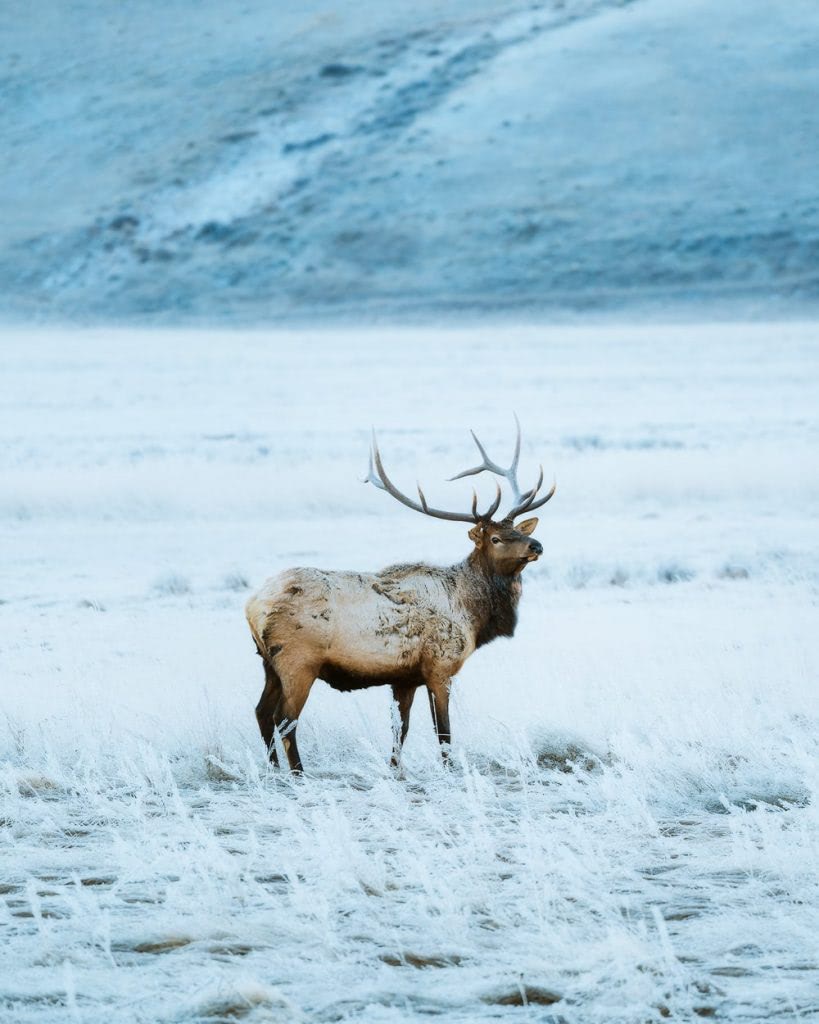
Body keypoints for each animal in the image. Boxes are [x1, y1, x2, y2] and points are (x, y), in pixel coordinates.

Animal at [243, 419, 548, 770]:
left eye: (519, 532)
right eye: (496, 538)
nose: (537, 545)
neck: (472, 614)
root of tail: (252, 606)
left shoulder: (404, 678)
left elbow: (400, 729)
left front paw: (396, 770)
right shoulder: (439, 666)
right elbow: (443, 732)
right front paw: (450, 770)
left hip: (268, 663)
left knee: (261, 713)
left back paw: (275, 771)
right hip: (298, 661)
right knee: (284, 719)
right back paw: (298, 774)